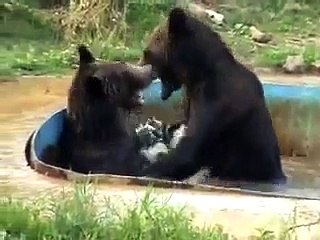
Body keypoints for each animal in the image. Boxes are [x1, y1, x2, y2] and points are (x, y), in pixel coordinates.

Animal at [140, 7, 288, 184]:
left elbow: (190, 150)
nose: (140, 65)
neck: (197, 74)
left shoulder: (215, 100)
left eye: (147, 52)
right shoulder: (191, 97)